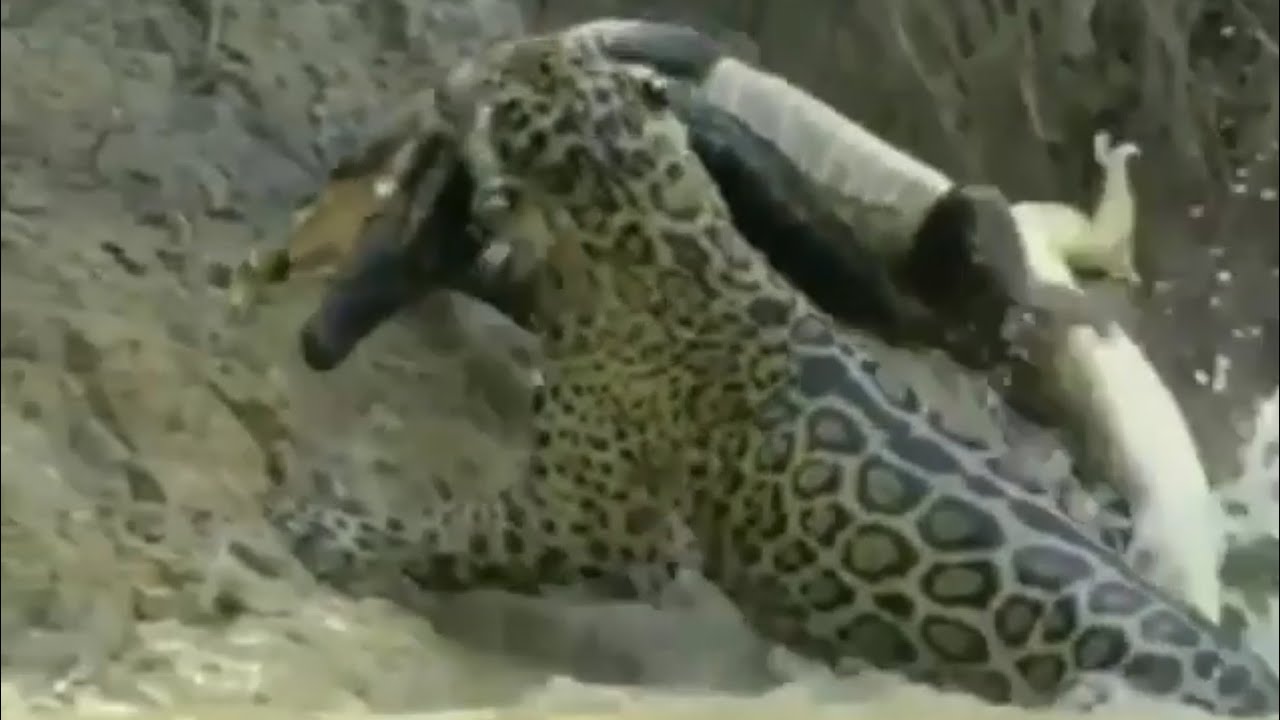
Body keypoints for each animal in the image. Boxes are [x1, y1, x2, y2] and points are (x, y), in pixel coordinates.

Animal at [269, 32, 1280, 715]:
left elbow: (456, 530)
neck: (652, 228)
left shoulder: (584, 514)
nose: (450, 79)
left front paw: (332, 534)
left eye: (500, 80)